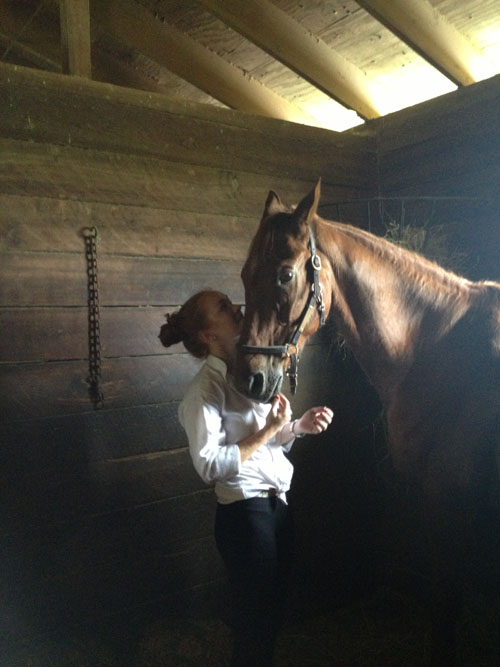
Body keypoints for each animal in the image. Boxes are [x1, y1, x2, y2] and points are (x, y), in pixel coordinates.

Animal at [234, 180, 500, 664]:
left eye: (284, 275)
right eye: (246, 273)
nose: (249, 378)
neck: (440, 350)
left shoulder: (450, 508)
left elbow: (446, 612)